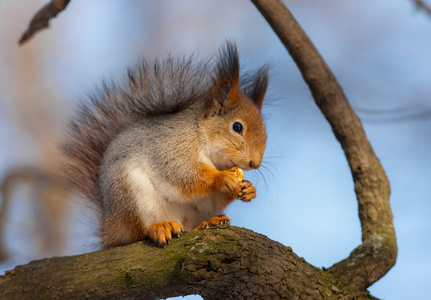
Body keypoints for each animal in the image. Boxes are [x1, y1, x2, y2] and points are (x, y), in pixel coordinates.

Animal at [61, 42, 270, 248]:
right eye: (237, 127)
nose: (255, 163)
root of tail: (110, 230)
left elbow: (211, 199)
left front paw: (249, 189)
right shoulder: (173, 146)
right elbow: (183, 173)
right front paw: (222, 178)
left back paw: (209, 222)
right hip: (131, 197)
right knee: (138, 234)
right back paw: (160, 227)